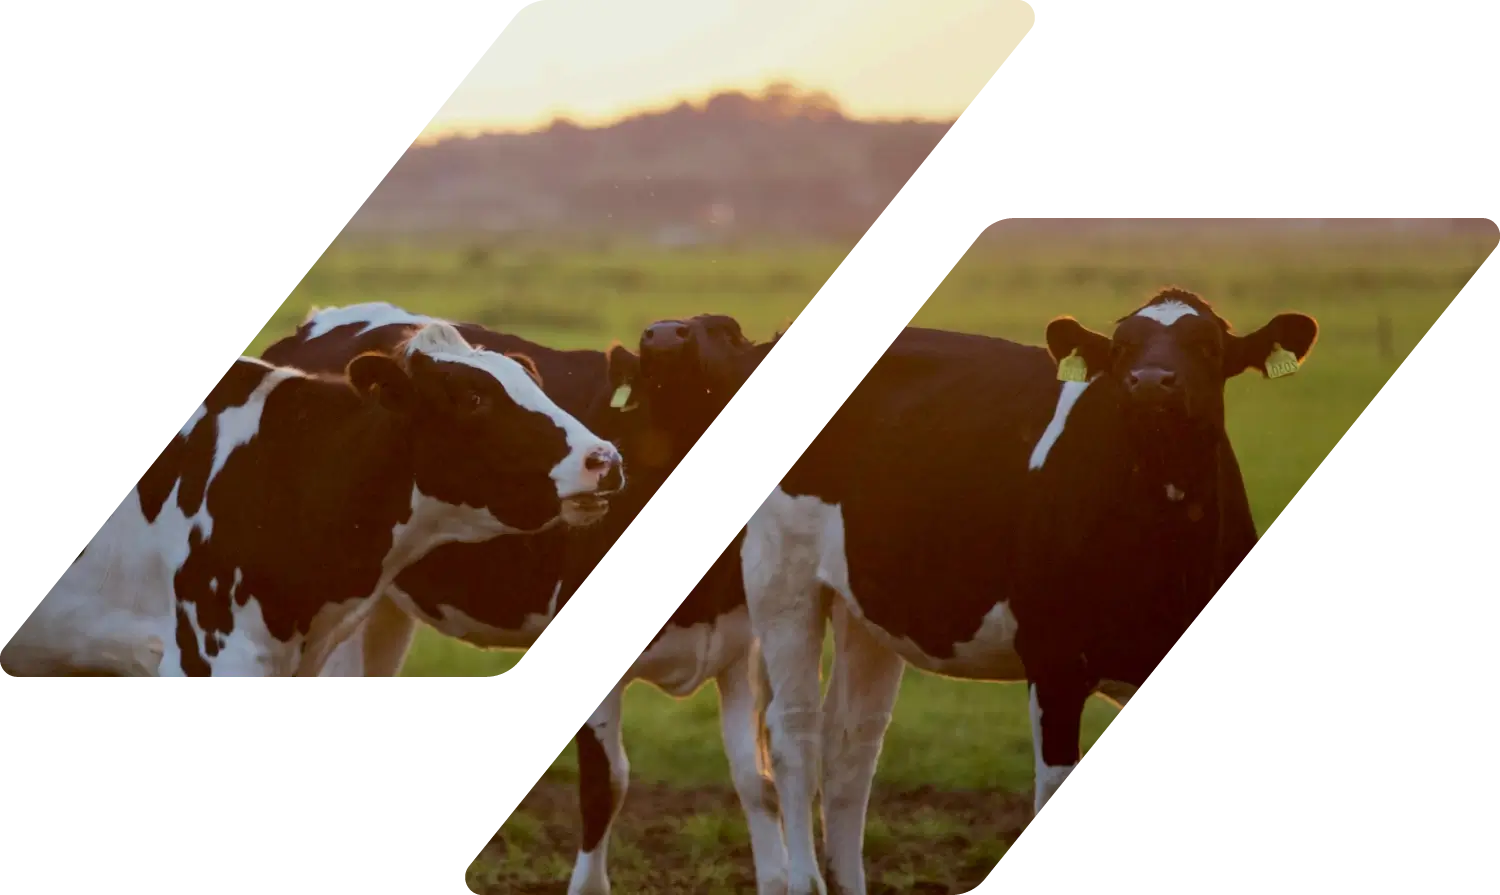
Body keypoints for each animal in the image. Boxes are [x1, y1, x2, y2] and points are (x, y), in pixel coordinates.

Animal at [699, 288, 1313, 895]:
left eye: (1207, 347)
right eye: (1120, 349)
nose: (1150, 382)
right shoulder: (1055, 663)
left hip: (865, 606)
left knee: (850, 745)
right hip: (782, 577)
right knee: (793, 736)